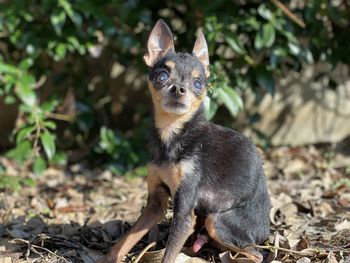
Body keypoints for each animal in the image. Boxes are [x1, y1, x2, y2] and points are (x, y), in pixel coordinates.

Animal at [98, 20, 270, 263]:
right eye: (162, 76)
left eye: (198, 84)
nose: (179, 88)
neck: (174, 135)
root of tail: (266, 230)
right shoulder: (156, 204)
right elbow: (125, 240)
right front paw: (107, 257)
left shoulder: (183, 211)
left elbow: (168, 255)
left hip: (218, 221)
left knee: (257, 254)